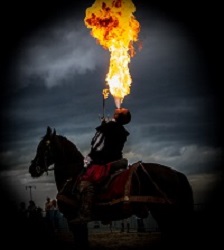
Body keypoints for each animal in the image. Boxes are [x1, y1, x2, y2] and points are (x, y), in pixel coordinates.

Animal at [29, 128, 194, 247]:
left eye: (44, 148)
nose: (32, 168)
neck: (72, 176)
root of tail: (175, 173)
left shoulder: (73, 220)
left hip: (165, 213)